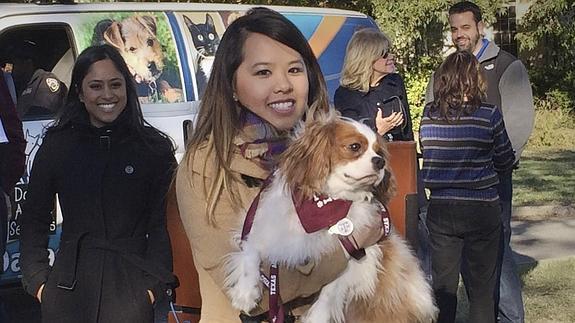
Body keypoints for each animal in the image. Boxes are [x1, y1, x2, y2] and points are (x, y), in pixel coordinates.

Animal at [225, 112, 436, 322]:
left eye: (380, 153)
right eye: (355, 147)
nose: (380, 161)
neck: (326, 203)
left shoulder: (355, 257)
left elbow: (329, 292)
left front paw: (316, 317)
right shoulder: (266, 227)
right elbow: (251, 252)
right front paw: (245, 293)